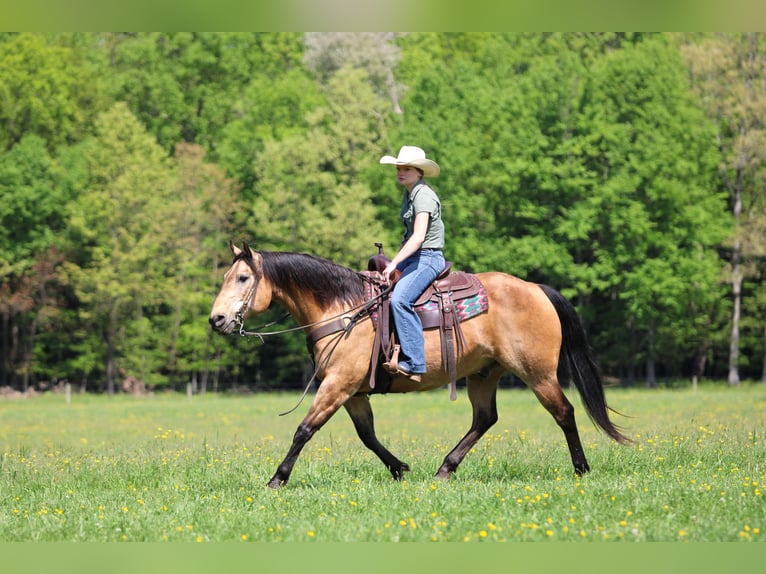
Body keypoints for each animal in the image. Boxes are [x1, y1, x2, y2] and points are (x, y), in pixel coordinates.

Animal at [209, 242, 629, 489]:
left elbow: (304, 430)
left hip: (537, 373)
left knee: (564, 412)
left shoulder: (338, 384)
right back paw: (445, 469)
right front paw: (399, 469)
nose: (217, 320)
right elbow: (367, 436)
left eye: (243, 278)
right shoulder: (352, 391)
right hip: (484, 374)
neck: (344, 309)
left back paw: (580, 469)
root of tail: (536, 289)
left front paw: (277, 479)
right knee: (484, 419)